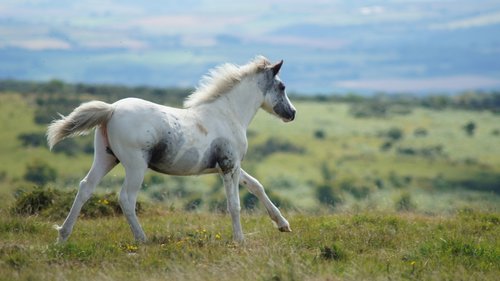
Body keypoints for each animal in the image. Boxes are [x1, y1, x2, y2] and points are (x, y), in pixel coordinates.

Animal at [47, 55, 296, 242]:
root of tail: (111, 109)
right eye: (282, 86)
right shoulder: (229, 166)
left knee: (85, 187)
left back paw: (63, 236)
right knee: (126, 198)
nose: (292, 113)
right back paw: (142, 239)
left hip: (106, 157)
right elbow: (234, 204)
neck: (228, 114)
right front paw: (239, 240)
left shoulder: (230, 166)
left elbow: (256, 186)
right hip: (135, 165)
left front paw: (283, 224)